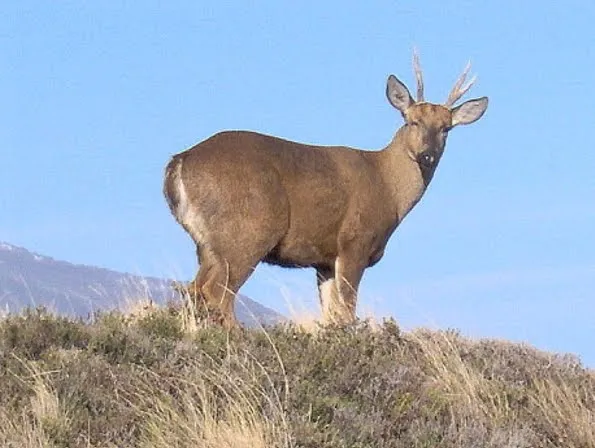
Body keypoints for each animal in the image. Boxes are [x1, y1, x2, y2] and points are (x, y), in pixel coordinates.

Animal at [164, 50, 488, 328]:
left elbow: (331, 316)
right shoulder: (354, 242)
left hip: (207, 244)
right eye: (412, 121)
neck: (387, 186)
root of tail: (179, 161)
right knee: (217, 293)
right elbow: (347, 312)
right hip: (247, 231)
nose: (427, 156)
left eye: (446, 128)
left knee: (195, 290)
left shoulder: (324, 260)